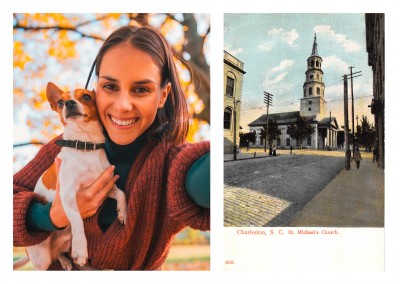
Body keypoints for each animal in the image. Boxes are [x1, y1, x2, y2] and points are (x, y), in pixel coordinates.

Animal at [21, 82, 126, 270]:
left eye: (86, 97)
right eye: (60, 102)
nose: (69, 103)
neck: (85, 144)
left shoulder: (105, 185)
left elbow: (122, 193)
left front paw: (123, 213)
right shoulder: (68, 194)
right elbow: (77, 219)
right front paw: (81, 250)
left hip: (63, 242)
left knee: (60, 252)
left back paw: (68, 261)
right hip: (41, 258)